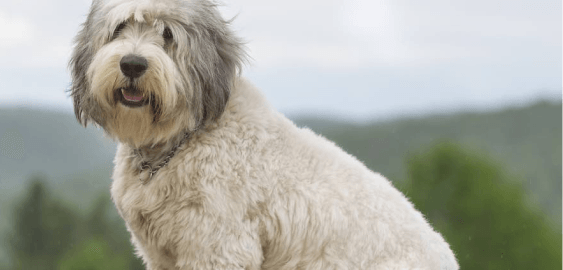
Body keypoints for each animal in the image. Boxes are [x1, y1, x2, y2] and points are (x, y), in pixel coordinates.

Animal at [69, 1, 458, 268]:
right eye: (121, 27)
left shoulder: (219, 246)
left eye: (168, 34)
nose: (132, 64)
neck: (182, 141)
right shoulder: (163, 254)